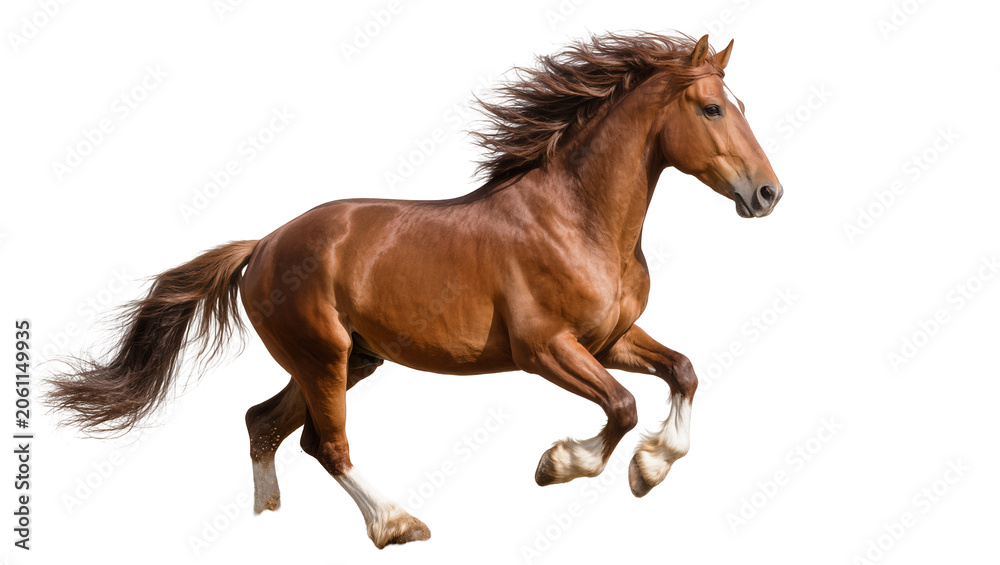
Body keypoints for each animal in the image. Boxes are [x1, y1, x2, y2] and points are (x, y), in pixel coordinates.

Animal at [48, 32, 782, 548]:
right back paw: (398, 523)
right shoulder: (546, 348)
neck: (578, 219)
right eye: (712, 108)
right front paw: (561, 463)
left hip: (351, 359)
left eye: (743, 105)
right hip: (323, 356)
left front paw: (652, 466)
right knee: (326, 443)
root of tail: (263, 246)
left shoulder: (611, 339)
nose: (768, 194)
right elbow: (623, 406)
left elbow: (683, 370)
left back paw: (267, 519)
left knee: (267, 424)